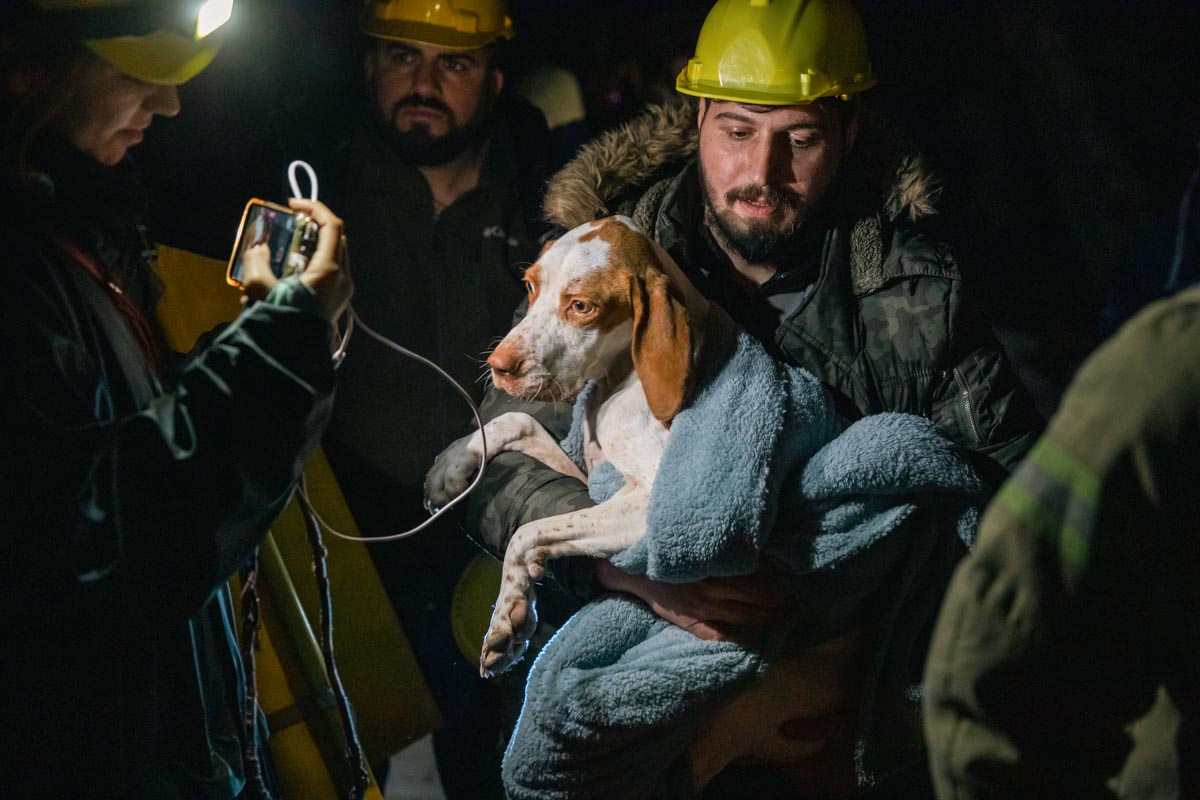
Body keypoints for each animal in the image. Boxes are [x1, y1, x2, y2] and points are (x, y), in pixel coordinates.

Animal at [422, 215, 705, 681]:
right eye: (530, 286)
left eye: (581, 306)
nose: (497, 366)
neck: (619, 379)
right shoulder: (589, 476)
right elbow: (516, 420)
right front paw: (452, 466)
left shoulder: (658, 506)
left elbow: (529, 530)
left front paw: (509, 614)